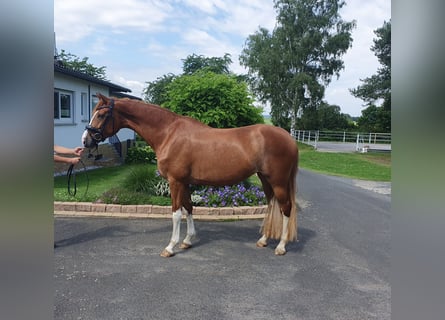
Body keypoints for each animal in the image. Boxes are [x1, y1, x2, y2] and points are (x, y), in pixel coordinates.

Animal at [83, 93, 298, 258]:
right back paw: (263, 240)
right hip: (265, 179)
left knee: (286, 207)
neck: (168, 133)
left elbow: (176, 213)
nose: (85, 141)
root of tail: (288, 137)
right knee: (272, 205)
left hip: (278, 181)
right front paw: (187, 240)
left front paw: (170, 247)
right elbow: (188, 209)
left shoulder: (175, 181)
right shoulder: (184, 182)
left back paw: (281, 246)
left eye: (101, 114)